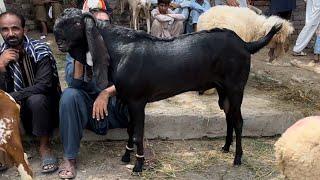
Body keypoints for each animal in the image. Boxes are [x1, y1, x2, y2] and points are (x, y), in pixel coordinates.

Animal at [53, 8, 282, 173]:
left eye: (76, 22)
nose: (55, 33)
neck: (119, 50)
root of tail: (245, 44)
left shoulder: (137, 101)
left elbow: (138, 133)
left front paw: (138, 165)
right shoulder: (127, 99)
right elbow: (130, 129)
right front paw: (126, 156)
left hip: (236, 88)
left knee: (239, 121)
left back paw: (237, 158)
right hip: (222, 90)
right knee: (229, 117)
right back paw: (225, 148)